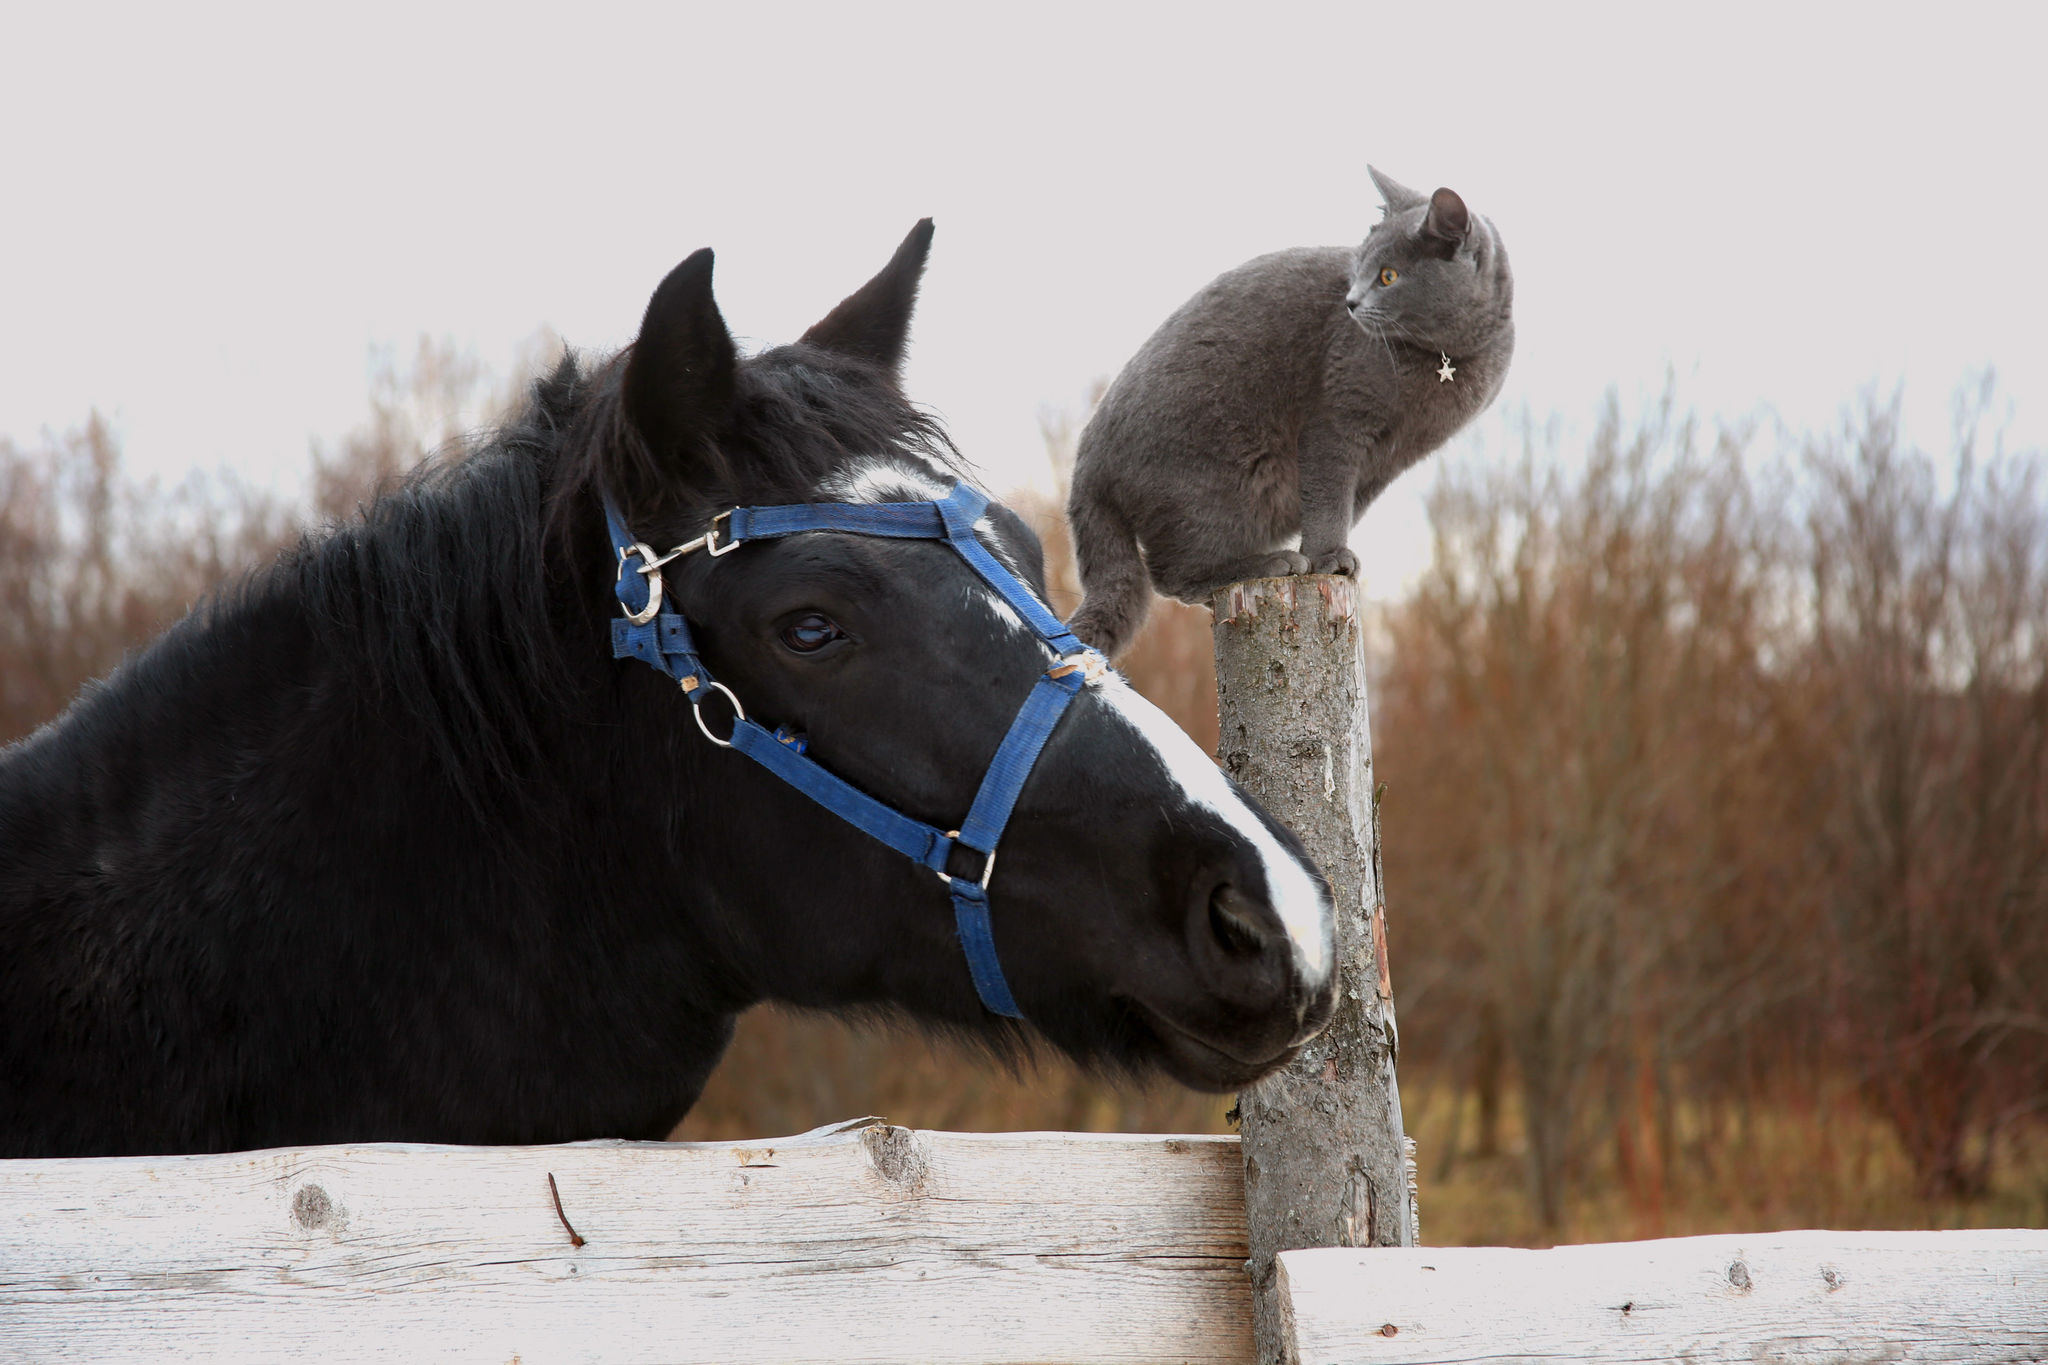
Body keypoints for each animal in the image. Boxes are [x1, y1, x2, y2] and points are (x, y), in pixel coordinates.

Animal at [1064, 167, 1515, 658]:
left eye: (1388, 276)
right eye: (1358, 270)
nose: (1350, 302)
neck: (1444, 360)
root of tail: (1088, 467)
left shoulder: (1390, 459)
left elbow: (1349, 502)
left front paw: (1327, 556)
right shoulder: (1336, 420)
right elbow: (1329, 495)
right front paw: (1327, 557)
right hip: (1215, 486)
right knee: (1173, 573)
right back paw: (1270, 563)